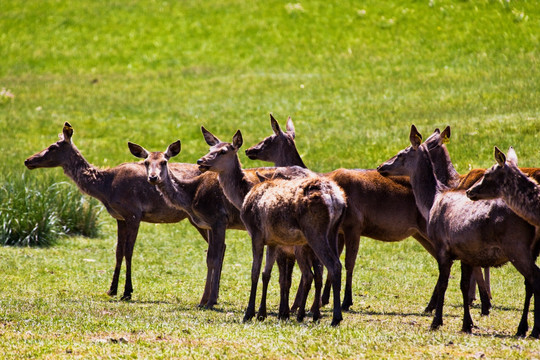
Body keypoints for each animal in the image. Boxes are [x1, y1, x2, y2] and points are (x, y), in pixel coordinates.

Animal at [23, 121, 228, 306]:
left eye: (52, 147)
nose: (28, 160)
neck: (106, 188)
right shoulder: (119, 217)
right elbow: (118, 251)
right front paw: (112, 289)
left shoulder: (133, 213)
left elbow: (129, 251)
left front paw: (127, 292)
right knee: (221, 246)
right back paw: (215, 295)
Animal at [195, 127, 346, 326]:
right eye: (210, 148)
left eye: (223, 151)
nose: (201, 161)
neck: (244, 196)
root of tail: (334, 197)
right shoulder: (274, 241)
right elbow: (268, 274)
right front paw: (264, 313)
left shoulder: (257, 234)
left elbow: (255, 272)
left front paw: (251, 313)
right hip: (332, 233)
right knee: (326, 269)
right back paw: (315, 313)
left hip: (314, 233)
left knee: (330, 267)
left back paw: (333, 317)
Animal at [246, 114, 494, 314]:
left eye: (268, 139)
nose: (249, 150)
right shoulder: (340, 230)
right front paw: (321, 301)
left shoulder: (353, 224)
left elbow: (347, 262)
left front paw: (343, 302)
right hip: (421, 234)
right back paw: (468, 303)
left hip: (428, 231)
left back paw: (473, 303)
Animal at [376, 125, 540, 336]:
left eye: (402, 153)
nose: (381, 167)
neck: (432, 201)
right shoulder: (466, 252)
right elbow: (463, 286)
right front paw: (466, 324)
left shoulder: (442, 246)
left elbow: (444, 283)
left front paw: (436, 321)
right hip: (530, 250)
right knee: (529, 282)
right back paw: (527, 328)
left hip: (516, 246)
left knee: (534, 278)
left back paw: (529, 329)